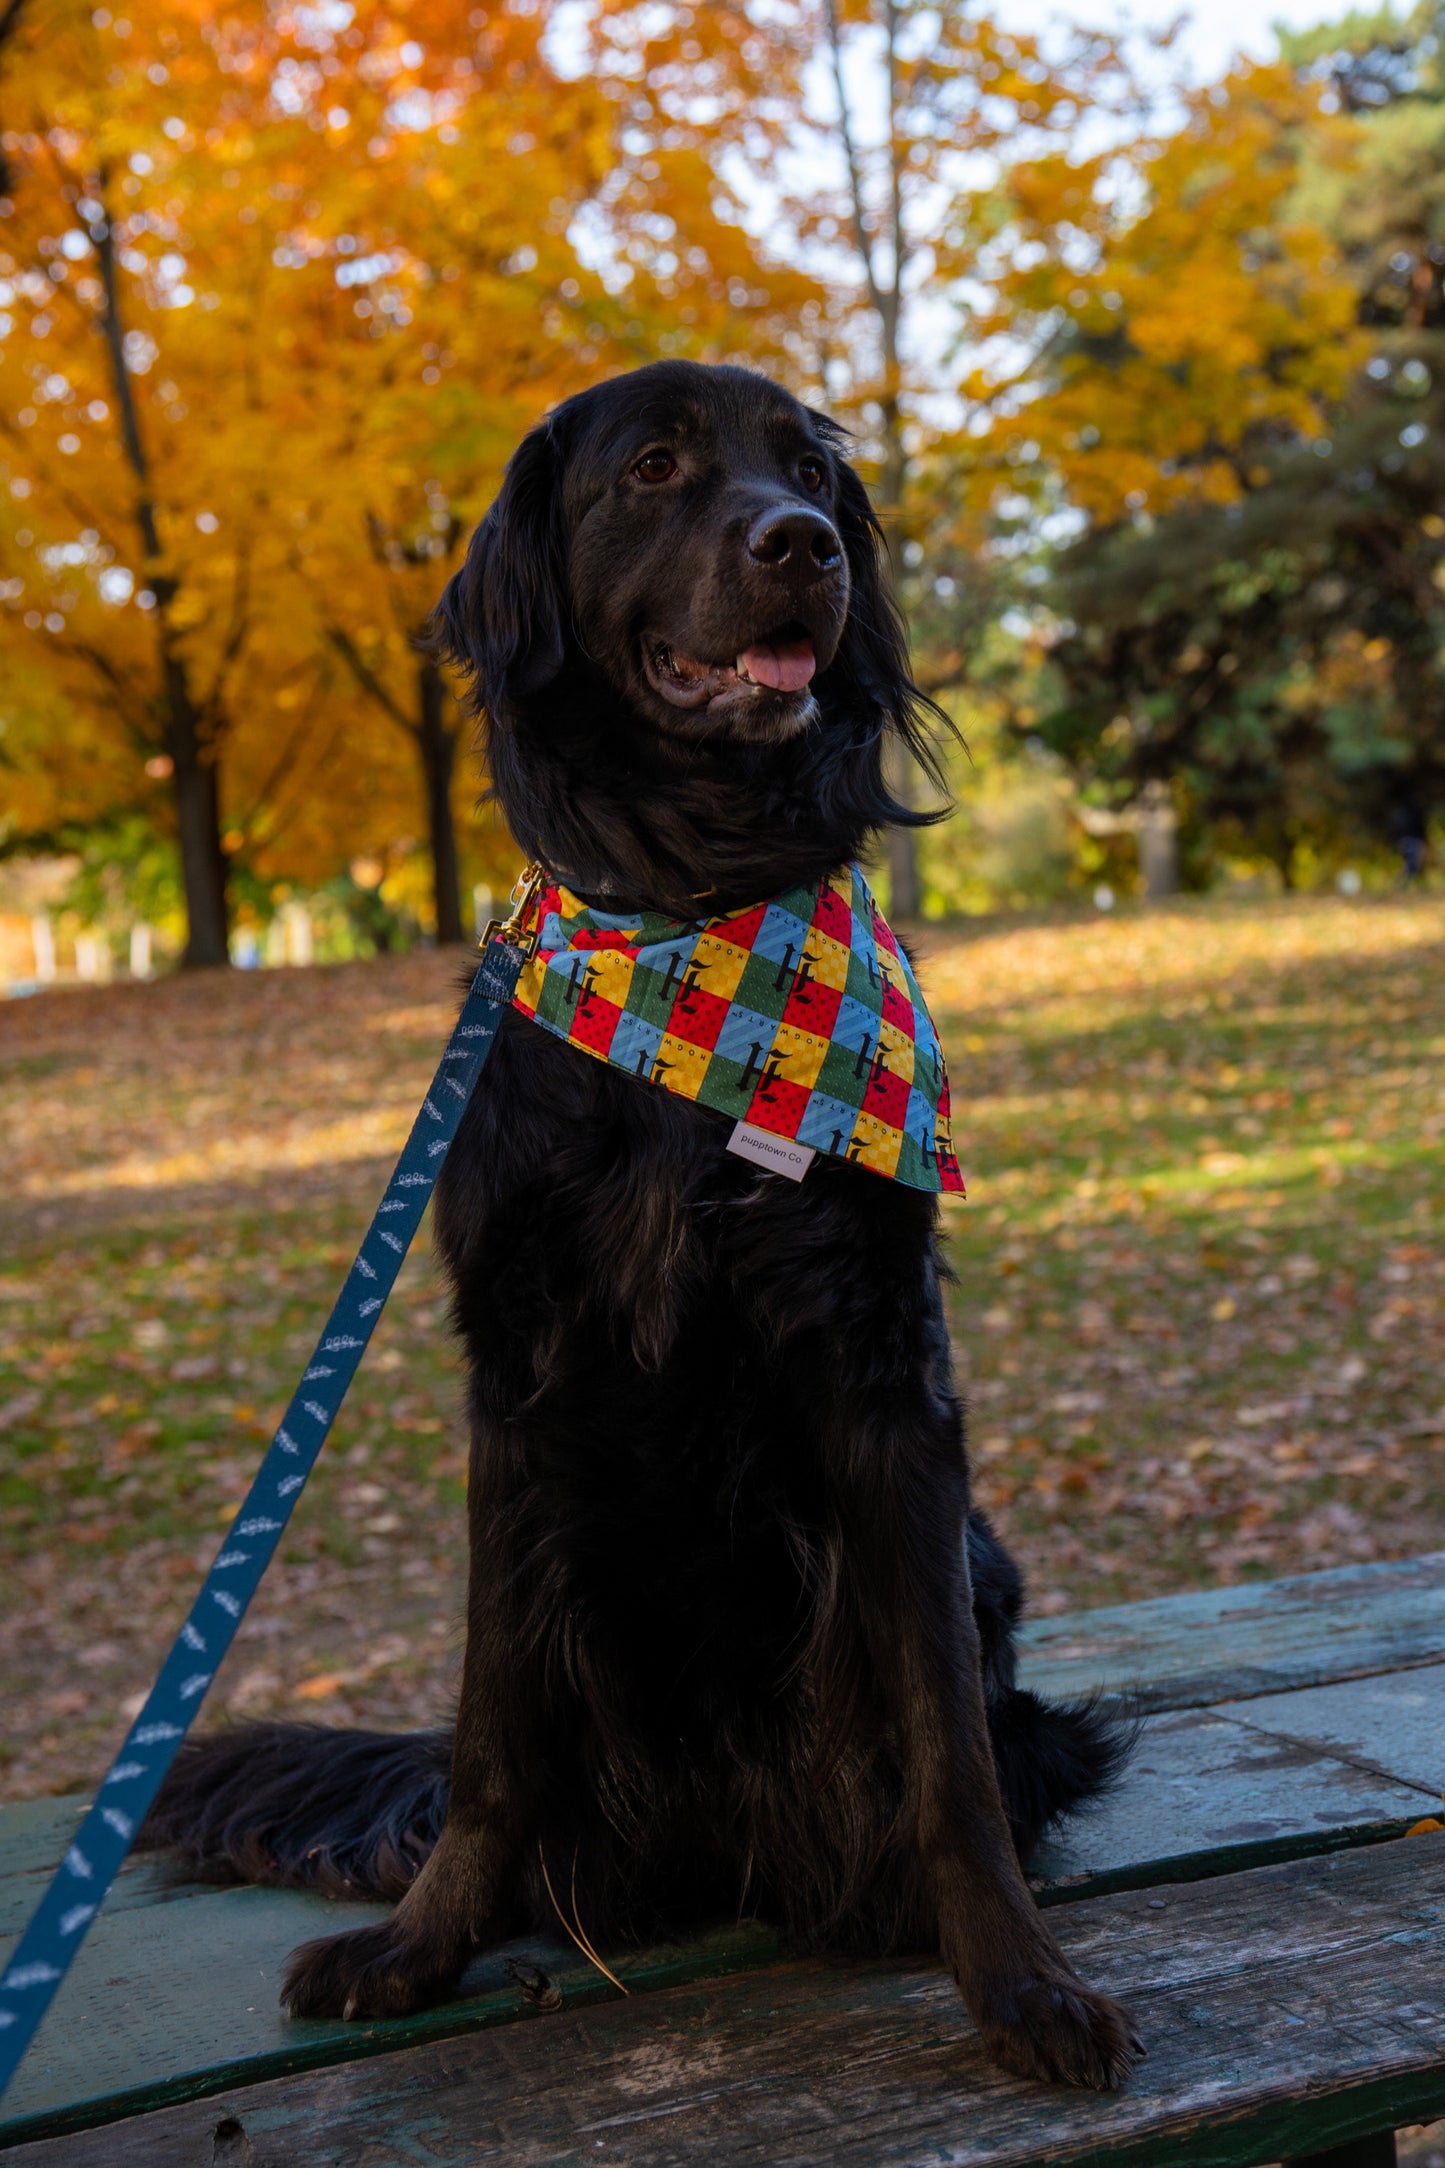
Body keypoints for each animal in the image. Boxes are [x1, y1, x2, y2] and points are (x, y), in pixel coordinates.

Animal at [147, 364, 1143, 2089]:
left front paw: (1015, 1977)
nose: (804, 542)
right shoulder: (515, 1389)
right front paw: (421, 1950)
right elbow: (491, 1746)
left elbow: (947, 1744)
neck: (697, 922)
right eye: (656, 467)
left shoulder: (887, 1377)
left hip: (980, 1559)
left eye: (809, 466)